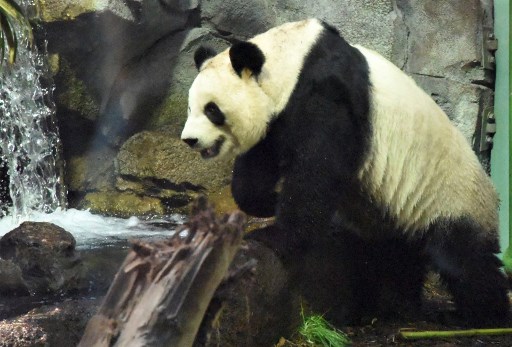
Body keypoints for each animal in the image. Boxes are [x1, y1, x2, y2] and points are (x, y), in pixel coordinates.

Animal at [180, 18, 508, 324]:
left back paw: (480, 316)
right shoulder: (277, 120)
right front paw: (268, 202)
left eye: (212, 109)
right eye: (190, 108)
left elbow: (316, 171)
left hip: (451, 197)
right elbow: (257, 167)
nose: (190, 140)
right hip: (399, 210)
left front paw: (273, 235)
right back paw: (396, 306)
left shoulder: (327, 94)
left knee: (463, 259)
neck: (291, 58)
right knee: (396, 255)